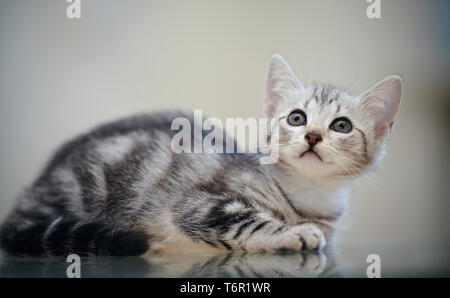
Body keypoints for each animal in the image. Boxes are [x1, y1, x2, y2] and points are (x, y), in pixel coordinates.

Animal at [0, 54, 400, 256]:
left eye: (341, 125)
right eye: (297, 118)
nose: (314, 136)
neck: (307, 197)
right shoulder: (199, 205)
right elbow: (247, 222)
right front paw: (294, 233)